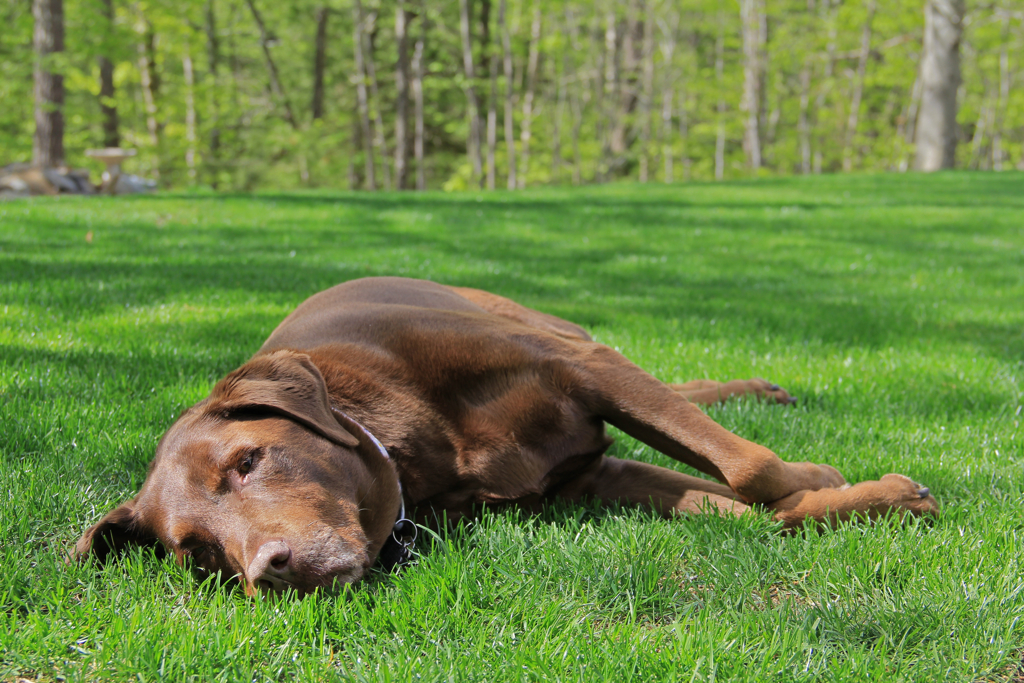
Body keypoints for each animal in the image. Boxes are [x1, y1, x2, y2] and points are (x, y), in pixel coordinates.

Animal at [74, 278, 937, 598]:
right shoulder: (595, 479)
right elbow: (755, 504)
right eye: (198, 553)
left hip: (553, 329)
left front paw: (840, 481)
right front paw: (870, 498)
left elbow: (751, 466)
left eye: (250, 459)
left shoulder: (583, 368)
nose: (272, 570)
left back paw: (769, 399)